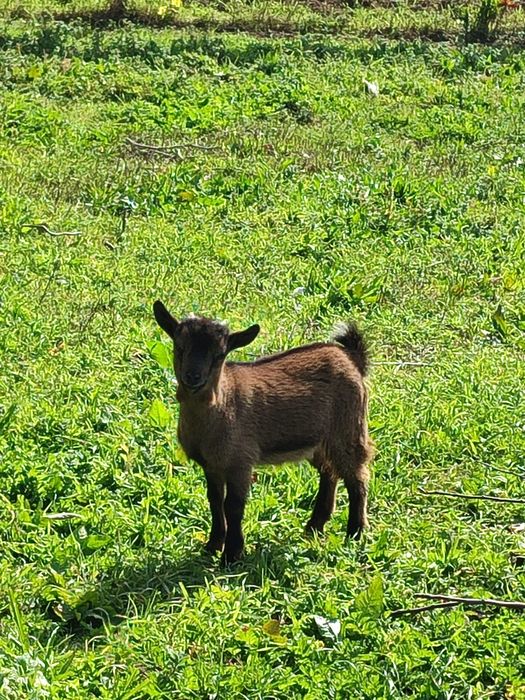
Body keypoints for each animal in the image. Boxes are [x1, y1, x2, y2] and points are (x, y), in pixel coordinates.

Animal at [153, 300, 374, 565]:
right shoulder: (212, 465)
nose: (193, 377)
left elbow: (233, 506)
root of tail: (351, 358)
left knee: (357, 477)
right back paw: (314, 527)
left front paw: (231, 554)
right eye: (179, 347)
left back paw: (355, 533)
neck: (222, 405)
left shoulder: (240, 462)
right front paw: (212, 546)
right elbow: (214, 501)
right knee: (330, 472)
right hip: (321, 440)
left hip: (348, 428)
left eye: (219, 355)